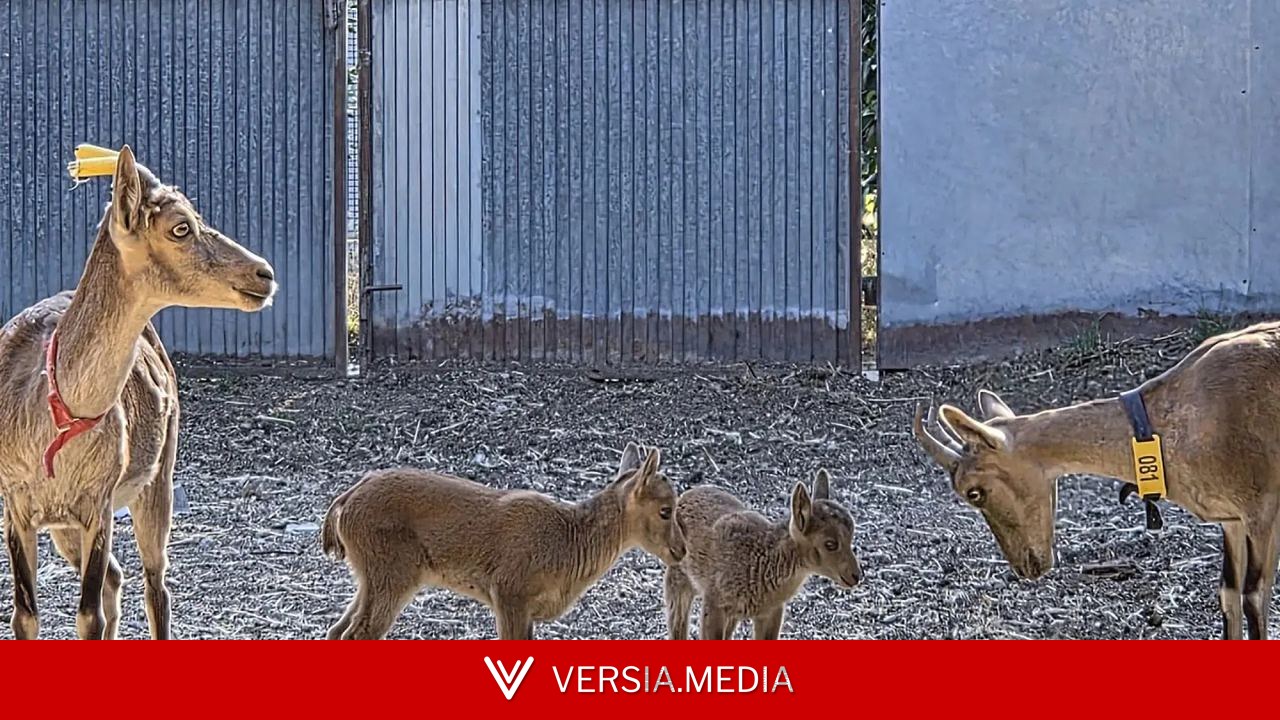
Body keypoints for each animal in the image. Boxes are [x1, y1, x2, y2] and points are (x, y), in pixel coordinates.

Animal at [322, 442, 686, 639]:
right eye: (666, 510)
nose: (680, 550)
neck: (567, 543)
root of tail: (344, 502)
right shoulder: (509, 593)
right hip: (393, 574)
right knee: (360, 632)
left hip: (371, 577)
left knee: (338, 630)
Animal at [664, 469, 861, 639]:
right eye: (830, 544)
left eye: (851, 536)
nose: (855, 576)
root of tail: (684, 497)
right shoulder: (714, 602)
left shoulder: (771, 611)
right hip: (678, 579)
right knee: (678, 625)